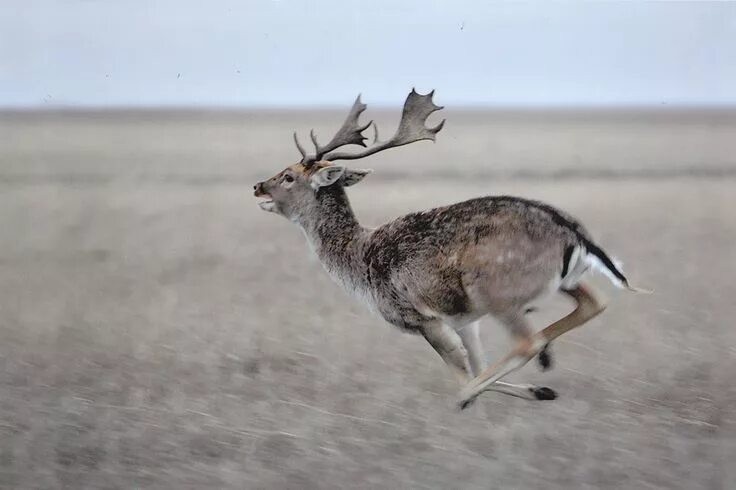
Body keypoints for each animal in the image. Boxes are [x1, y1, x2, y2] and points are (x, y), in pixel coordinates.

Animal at [254, 89, 648, 410]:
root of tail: (575, 234)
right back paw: (543, 372)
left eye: (289, 176)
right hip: (563, 282)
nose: (258, 186)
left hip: (496, 293)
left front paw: (480, 396)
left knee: (525, 343)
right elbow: (477, 361)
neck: (358, 260)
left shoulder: (420, 317)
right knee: (593, 303)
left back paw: (479, 391)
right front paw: (539, 390)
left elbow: (462, 372)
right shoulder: (465, 319)